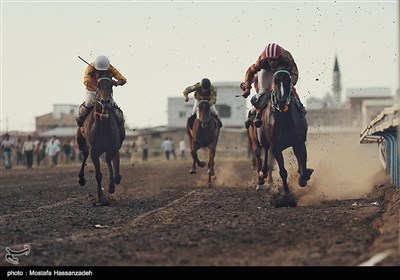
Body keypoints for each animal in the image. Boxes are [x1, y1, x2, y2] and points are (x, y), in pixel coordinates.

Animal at [75, 76, 125, 206]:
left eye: (111, 85)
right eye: (98, 85)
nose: (105, 102)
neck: (102, 127)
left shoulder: (113, 147)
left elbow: (114, 169)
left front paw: (112, 185)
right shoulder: (94, 151)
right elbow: (98, 175)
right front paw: (101, 198)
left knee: (109, 160)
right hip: (80, 141)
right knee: (85, 154)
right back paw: (81, 179)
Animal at [260, 69, 314, 206]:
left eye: (288, 80)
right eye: (275, 81)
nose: (282, 101)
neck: (285, 121)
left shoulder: (299, 143)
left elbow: (302, 166)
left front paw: (303, 178)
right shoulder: (276, 148)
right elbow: (283, 172)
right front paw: (287, 197)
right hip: (264, 138)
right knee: (266, 149)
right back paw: (263, 172)